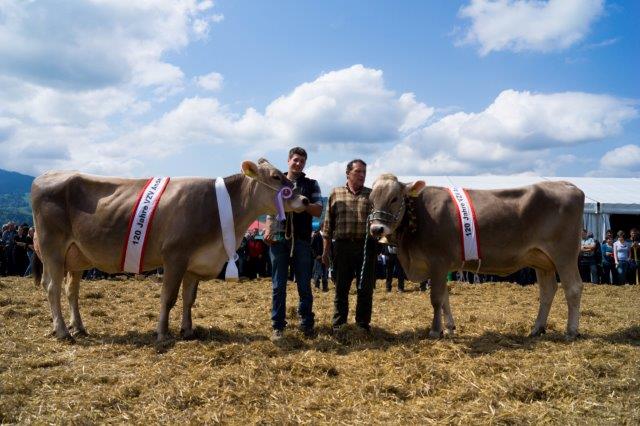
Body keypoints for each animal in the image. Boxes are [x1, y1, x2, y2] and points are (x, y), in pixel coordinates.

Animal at [31, 159, 308, 342]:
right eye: (276, 177)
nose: (305, 199)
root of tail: (43, 176)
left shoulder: (194, 264)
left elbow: (189, 299)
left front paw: (188, 330)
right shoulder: (175, 256)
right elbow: (169, 297)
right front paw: (163, 333)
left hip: (75, 257)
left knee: (71, 291)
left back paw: (78, 327)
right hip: (52, 248)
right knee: (52, 288)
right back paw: (63, 332)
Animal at [368, 174, 585, 340]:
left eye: (395, 198)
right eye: (371, 200)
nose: (377, 229)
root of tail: (567, 185)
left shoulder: (438, 262)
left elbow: (436, 298)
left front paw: (435, 331)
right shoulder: (440, 267)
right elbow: (445, 297)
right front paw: (449, 327)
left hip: (564, 255)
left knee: (573, 287)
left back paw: (571, 331)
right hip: (542, 261)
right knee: (547, 291)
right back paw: (536, 329)